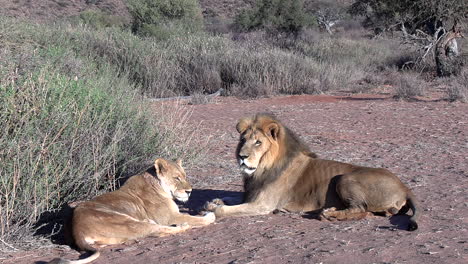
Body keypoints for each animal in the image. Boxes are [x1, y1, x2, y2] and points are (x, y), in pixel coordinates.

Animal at [49, 158, 214, 262]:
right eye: (176, 178)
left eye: (185, 176)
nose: (189, 191)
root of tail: (78, 232)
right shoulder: (170, 217)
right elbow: (193, 218)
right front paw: (208, 215)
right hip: (128, 222)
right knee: (159, 230)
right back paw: (184, 225)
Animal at [207, 113, 418, 231]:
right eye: (243, 140)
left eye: (258, 142)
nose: (241, 156)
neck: (261, 169)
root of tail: (405, 187)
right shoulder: (251, 195)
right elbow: (231, 199)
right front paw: (214, 201)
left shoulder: (263, 205)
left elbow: (226, 210)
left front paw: (214, 208)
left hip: (345, 178)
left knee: (361, 210)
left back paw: (329, 214)